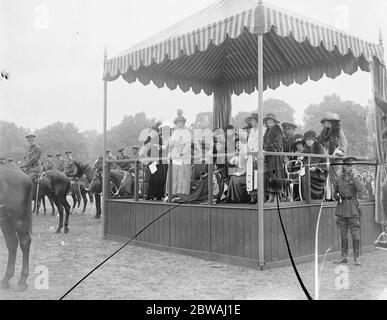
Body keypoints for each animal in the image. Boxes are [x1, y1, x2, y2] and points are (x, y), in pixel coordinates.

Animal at [0, 164, 32, 292]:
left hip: (18, 219)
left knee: (24, 242)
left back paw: (22, 281)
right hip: (5, 219)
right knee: (12, 242)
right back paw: (6, 279)